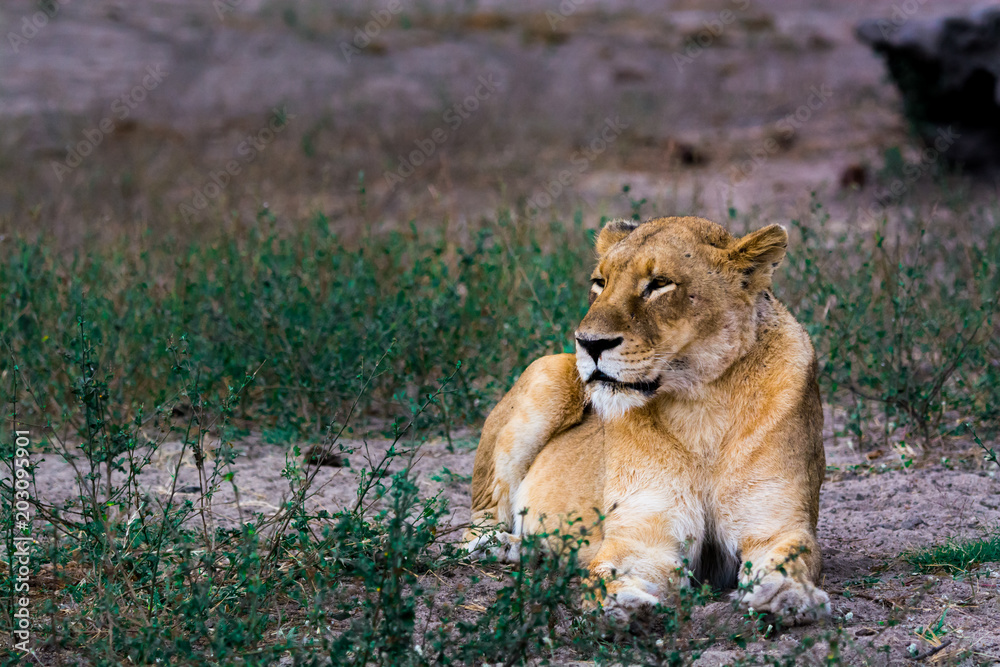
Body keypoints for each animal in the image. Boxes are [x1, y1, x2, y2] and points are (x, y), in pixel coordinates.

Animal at [466, 216, 830, 623]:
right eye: (600, 282)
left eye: (659, 284)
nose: (589, 343)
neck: (701, 405)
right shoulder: (641, 534)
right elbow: (607, 571)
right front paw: (618, 605)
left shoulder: (777, 526)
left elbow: (793, 558)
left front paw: (785, 595)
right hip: (549, 370)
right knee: (482, 518)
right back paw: (498, 546)